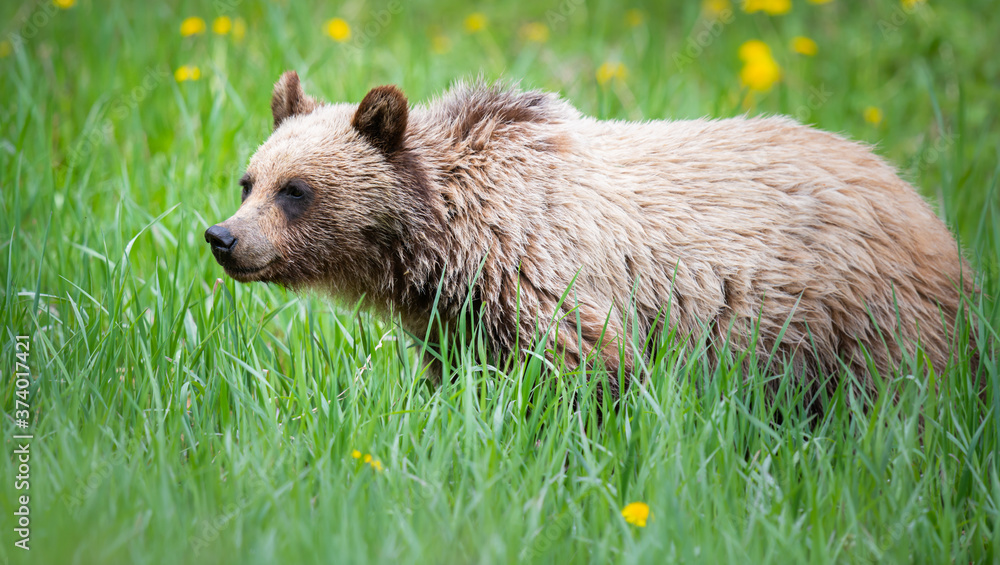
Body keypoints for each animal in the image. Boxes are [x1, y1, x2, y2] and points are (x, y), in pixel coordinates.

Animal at [205, 70, 976, 401]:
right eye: (250, 180)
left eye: (296, 190)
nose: (224, 237)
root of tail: (916, 197)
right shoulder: (459, 314)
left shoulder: (550, 280)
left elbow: (581, 377)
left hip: (862, 316)